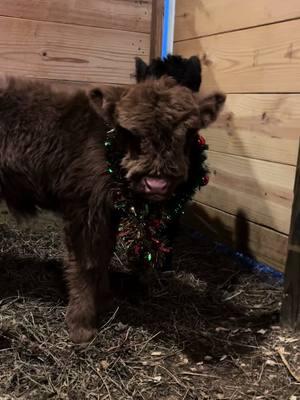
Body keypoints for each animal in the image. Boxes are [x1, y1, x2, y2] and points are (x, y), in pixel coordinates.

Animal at [0, 76, 225, 342]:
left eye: (189, 132)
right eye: (129, 132)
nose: (156, 184)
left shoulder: (109, 213)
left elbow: (105, 254)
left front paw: (105, 297)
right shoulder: (85, 210)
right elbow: (87, 263)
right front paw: (82, 326)